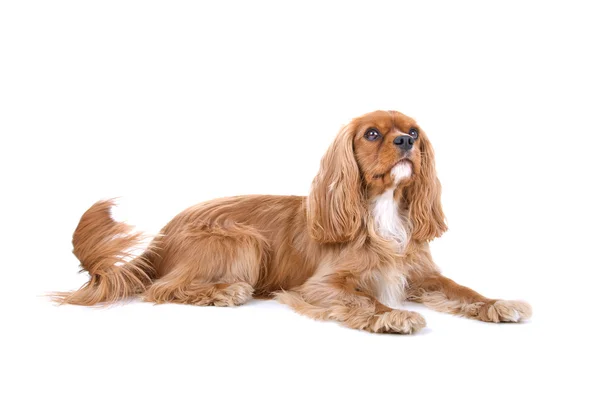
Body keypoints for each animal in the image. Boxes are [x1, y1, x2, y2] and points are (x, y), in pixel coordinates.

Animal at [56, 110, 532, 334]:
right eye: (372, 134)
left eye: (414, 132)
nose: (405, 142)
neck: (381, 209)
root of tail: (163, 234)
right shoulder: (321, 286)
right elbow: (364, 299)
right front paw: (391, 315)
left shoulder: (421, 275)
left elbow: (462, 290)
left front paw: (497, 303)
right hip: (241, 238)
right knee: (162, 289)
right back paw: (224, 292)